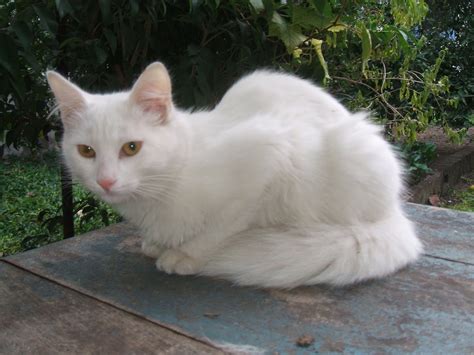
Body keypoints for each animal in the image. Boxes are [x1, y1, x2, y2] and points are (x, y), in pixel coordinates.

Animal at [46, 62, 422, 288]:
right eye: (87, 151)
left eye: (132, 148)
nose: (106, 181)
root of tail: (395, 213)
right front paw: (159, 244)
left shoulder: (267, 157)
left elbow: (221, 226)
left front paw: (186, 255)